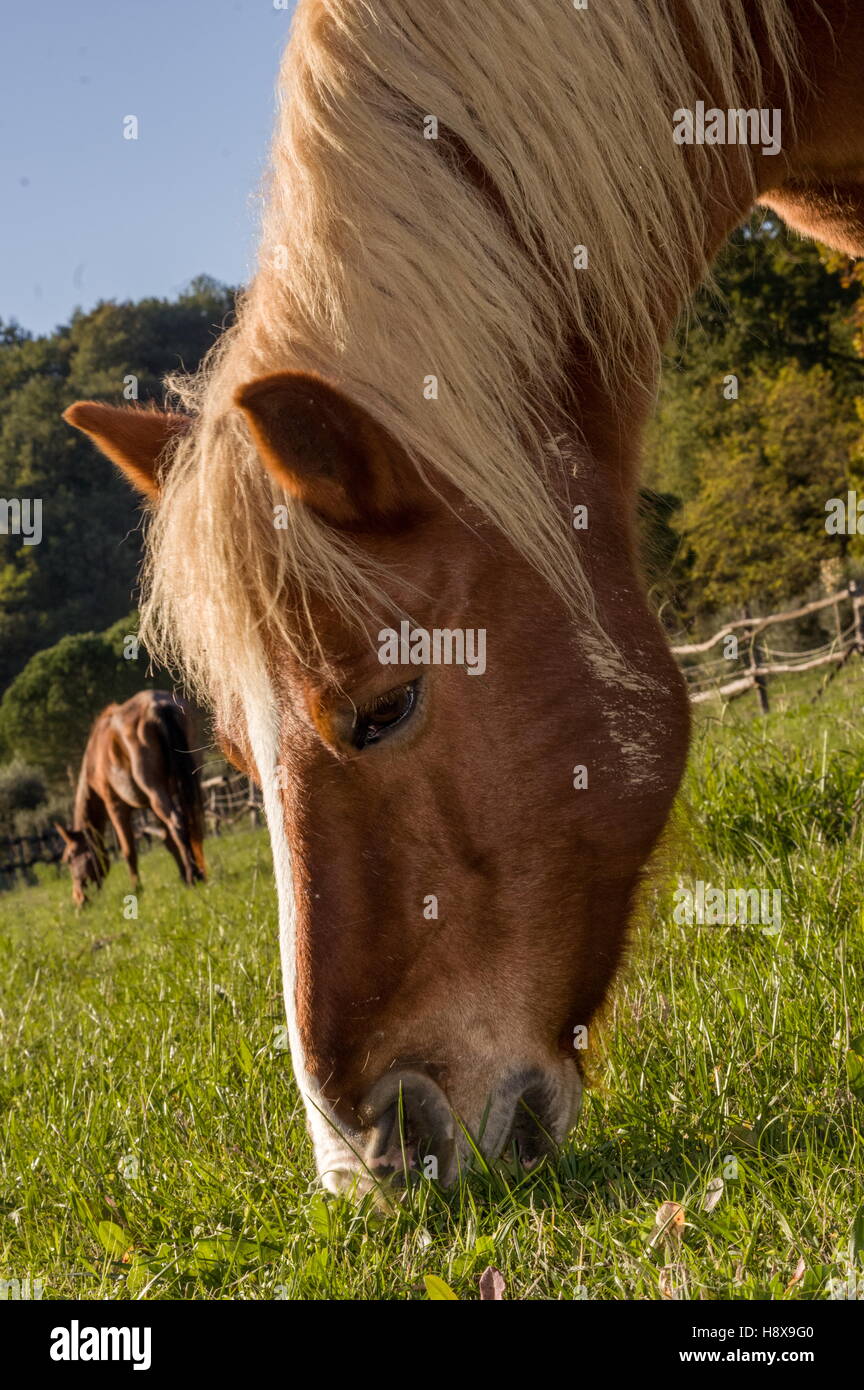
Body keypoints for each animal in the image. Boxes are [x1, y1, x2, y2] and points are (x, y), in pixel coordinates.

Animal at [57, 689, 206, 906]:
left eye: (69, 859)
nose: (79, 899)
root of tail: (157, 707)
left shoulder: (115, 805)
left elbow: (128, 851)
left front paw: (137, 889)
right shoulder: (151, 805)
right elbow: (167, 840)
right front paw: (180, 874)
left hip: (154, 789)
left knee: (177, 822)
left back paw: (192, 875)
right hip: (186, 781)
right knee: (189, 821)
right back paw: (197, 871)